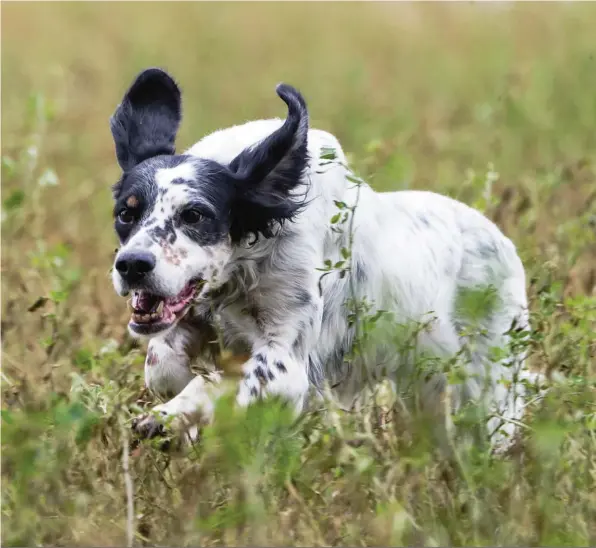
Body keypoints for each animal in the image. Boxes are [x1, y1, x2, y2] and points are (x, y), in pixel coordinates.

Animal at [109, 68, 532, 452]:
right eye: (126, 213)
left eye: (195, 215)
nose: (132, 265)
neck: (245, 262)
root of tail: (501, 240)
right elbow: (162, 366)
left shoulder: (286, 362)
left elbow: (218, 380)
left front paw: (169, 417)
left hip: (479, 391)